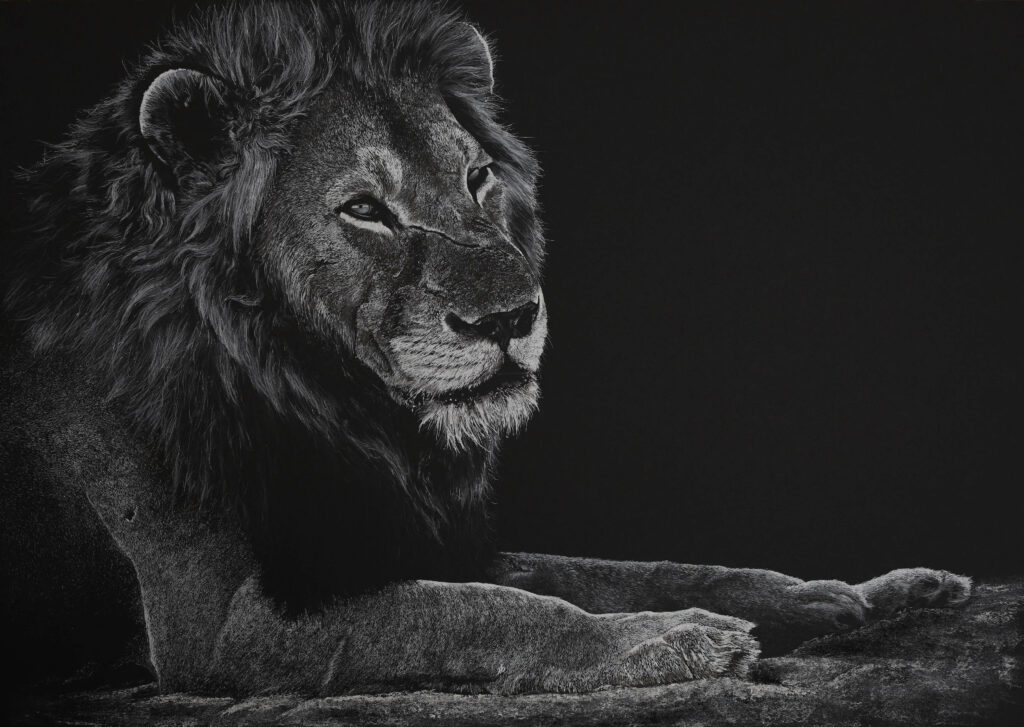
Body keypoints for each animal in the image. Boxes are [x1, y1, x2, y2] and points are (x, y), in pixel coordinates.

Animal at [1, 0, 971, 695]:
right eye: (364, 209)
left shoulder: (412, 534)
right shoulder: (222, 625)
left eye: (477, 178)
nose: (510, 317)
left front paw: (848, 594)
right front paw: (670, 641)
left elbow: (620, 568)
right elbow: (483, 610)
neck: (330, 404)